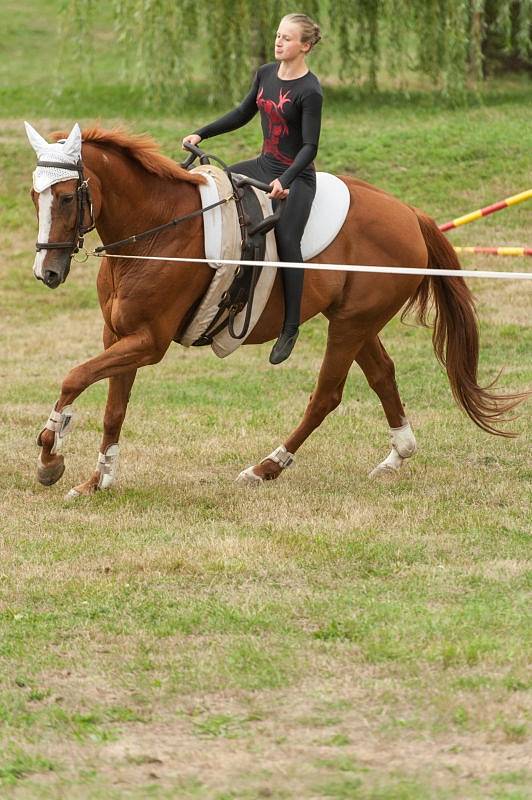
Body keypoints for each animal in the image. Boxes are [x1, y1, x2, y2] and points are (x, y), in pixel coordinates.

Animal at [26, 122, 524, 496]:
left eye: (67, 197)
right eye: (35, 197)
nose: (46, 272)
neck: (156, 230)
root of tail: (409, 214)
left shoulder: (148, 342)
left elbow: (73, 377)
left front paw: (51, 453)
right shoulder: (119, 335)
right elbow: (113, 406)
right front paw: (97, 479)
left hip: (350, 325)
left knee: (326, 395)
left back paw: (267, 466)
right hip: (355, 322)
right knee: (382, 374)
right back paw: (397, 455)